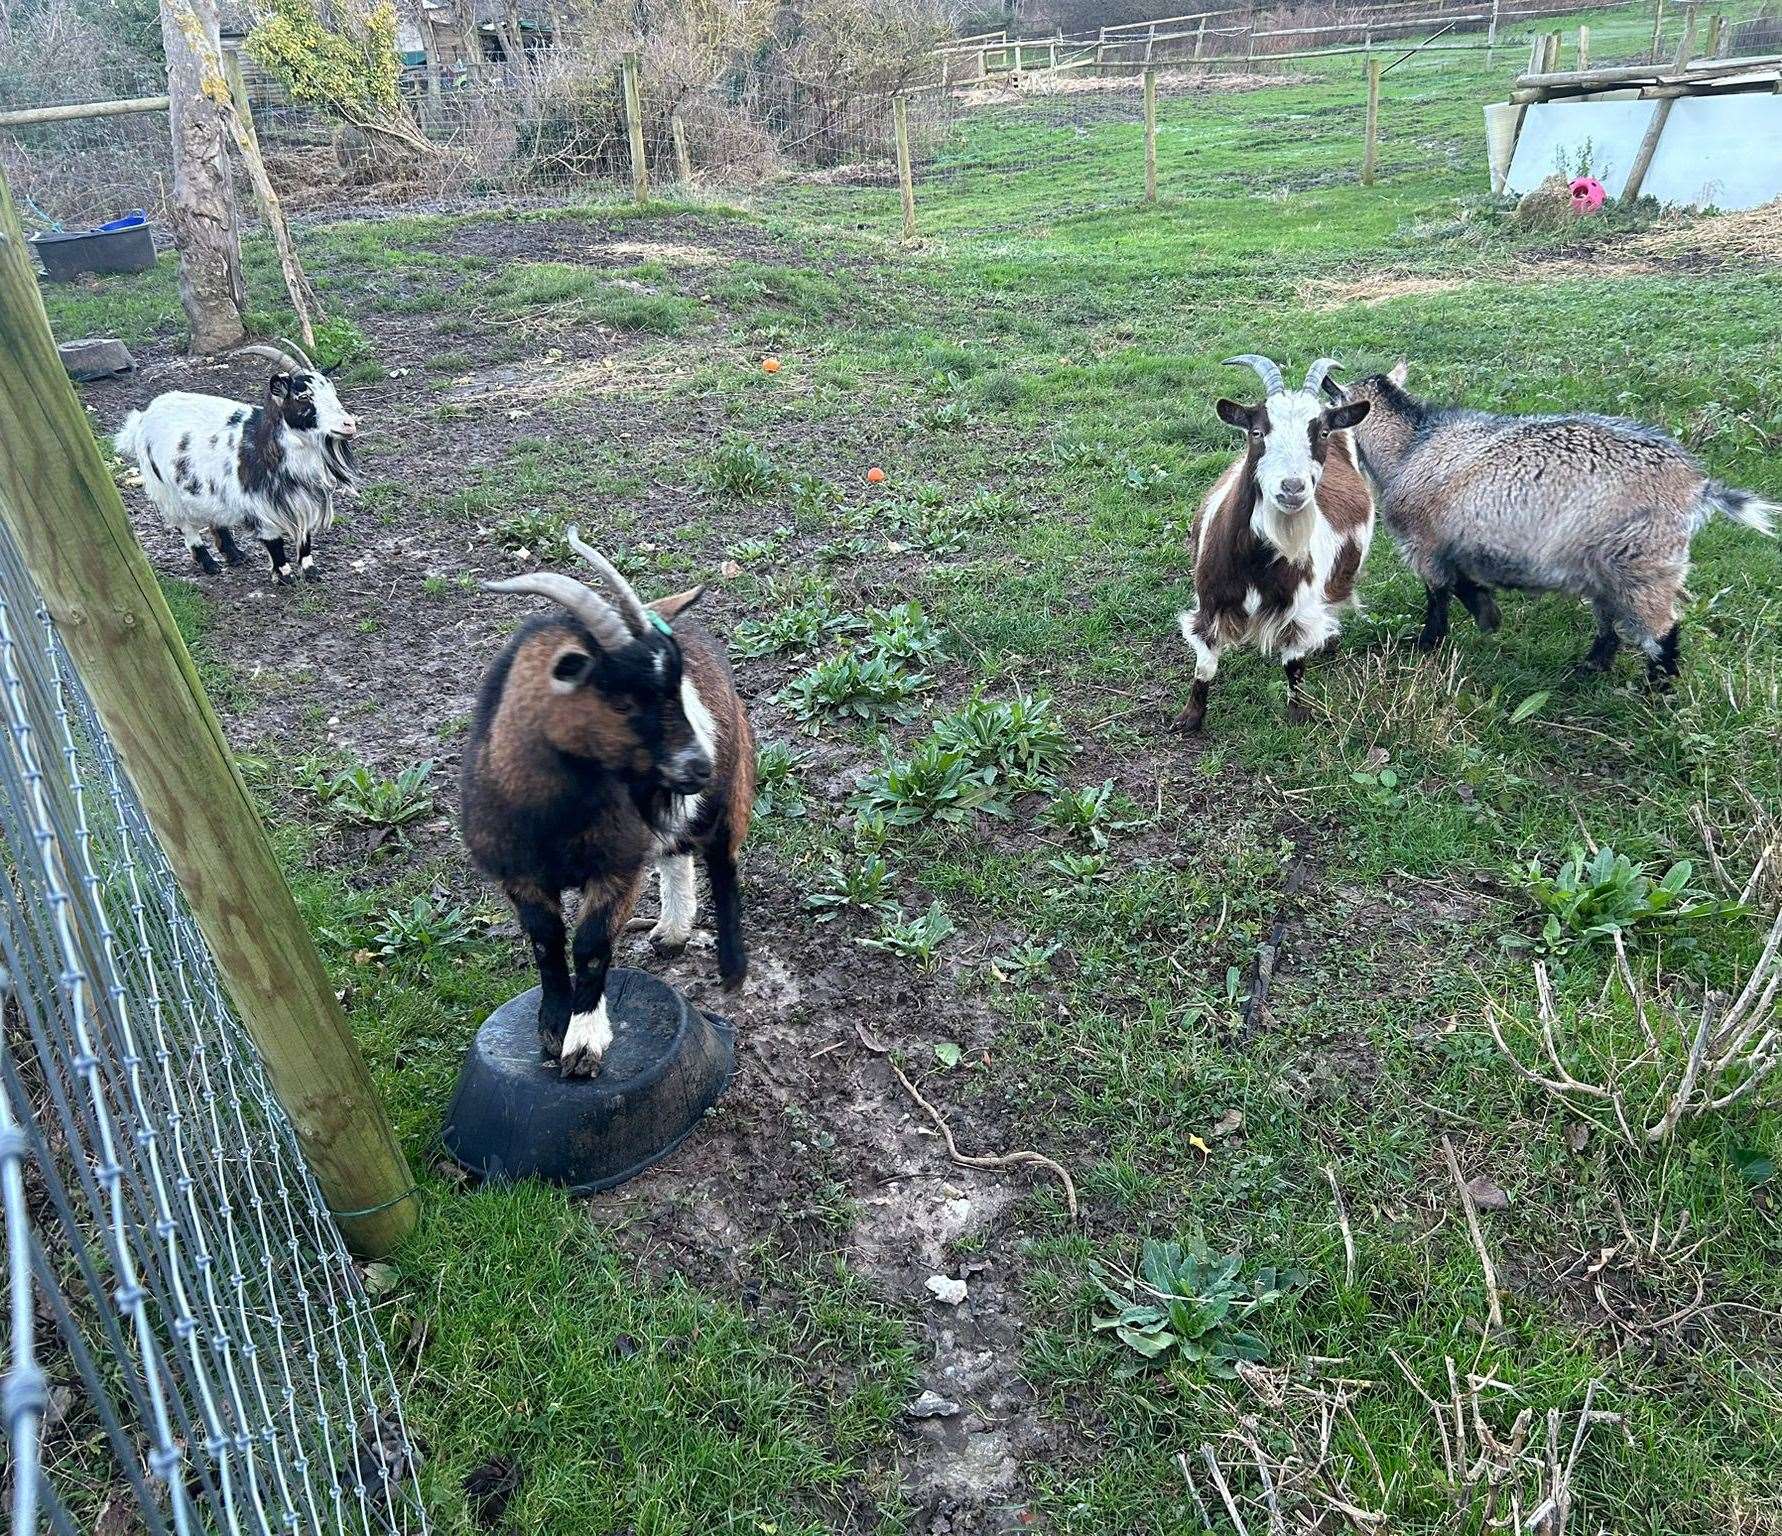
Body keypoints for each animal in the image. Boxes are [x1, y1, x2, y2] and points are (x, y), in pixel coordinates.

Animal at [114, 342, 358, 584]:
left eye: (332, 392)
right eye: (303, 397)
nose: (349, 424)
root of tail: (141, 419)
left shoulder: (303, 501)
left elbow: (305, 538)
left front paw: (310, 571)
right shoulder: (260, 507)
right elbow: (274, 542)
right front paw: (284, 575)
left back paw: (235, 555)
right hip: (167, 491)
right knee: (187, 527)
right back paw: (209, 563)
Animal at [459, 534, 752, 1076]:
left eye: (675, 688)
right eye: (622, 701)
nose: (698, 765)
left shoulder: (615, 865)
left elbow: (591, 945)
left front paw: (584, 1042)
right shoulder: (519, 874)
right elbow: (546, 942)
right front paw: (553, 1027)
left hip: (731, 786)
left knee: (722, 861)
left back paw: (731, 968)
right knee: (675, 853)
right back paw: (673, 932)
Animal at [1168, 358, 1375, 730]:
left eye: (1320, 432)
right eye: (1257, 432)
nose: (1292, 488)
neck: (1255, 560)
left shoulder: (1299, 610)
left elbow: (1294, 664)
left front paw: (1298, 714)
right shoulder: (1210, 602)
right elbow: (1205, 664)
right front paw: (1189, 718)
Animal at [1325, 363, 1767, 684]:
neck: (1410, 446)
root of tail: (1696, 486)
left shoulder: (1425, 543)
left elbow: (1439, 593)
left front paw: (1429, 642)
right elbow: (1462, 582)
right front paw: (1487, 614)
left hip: (1643, 561)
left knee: (1661, 630)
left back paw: (1658, 690)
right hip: (1606, 564)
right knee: (1611, 620)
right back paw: (1590, 668)